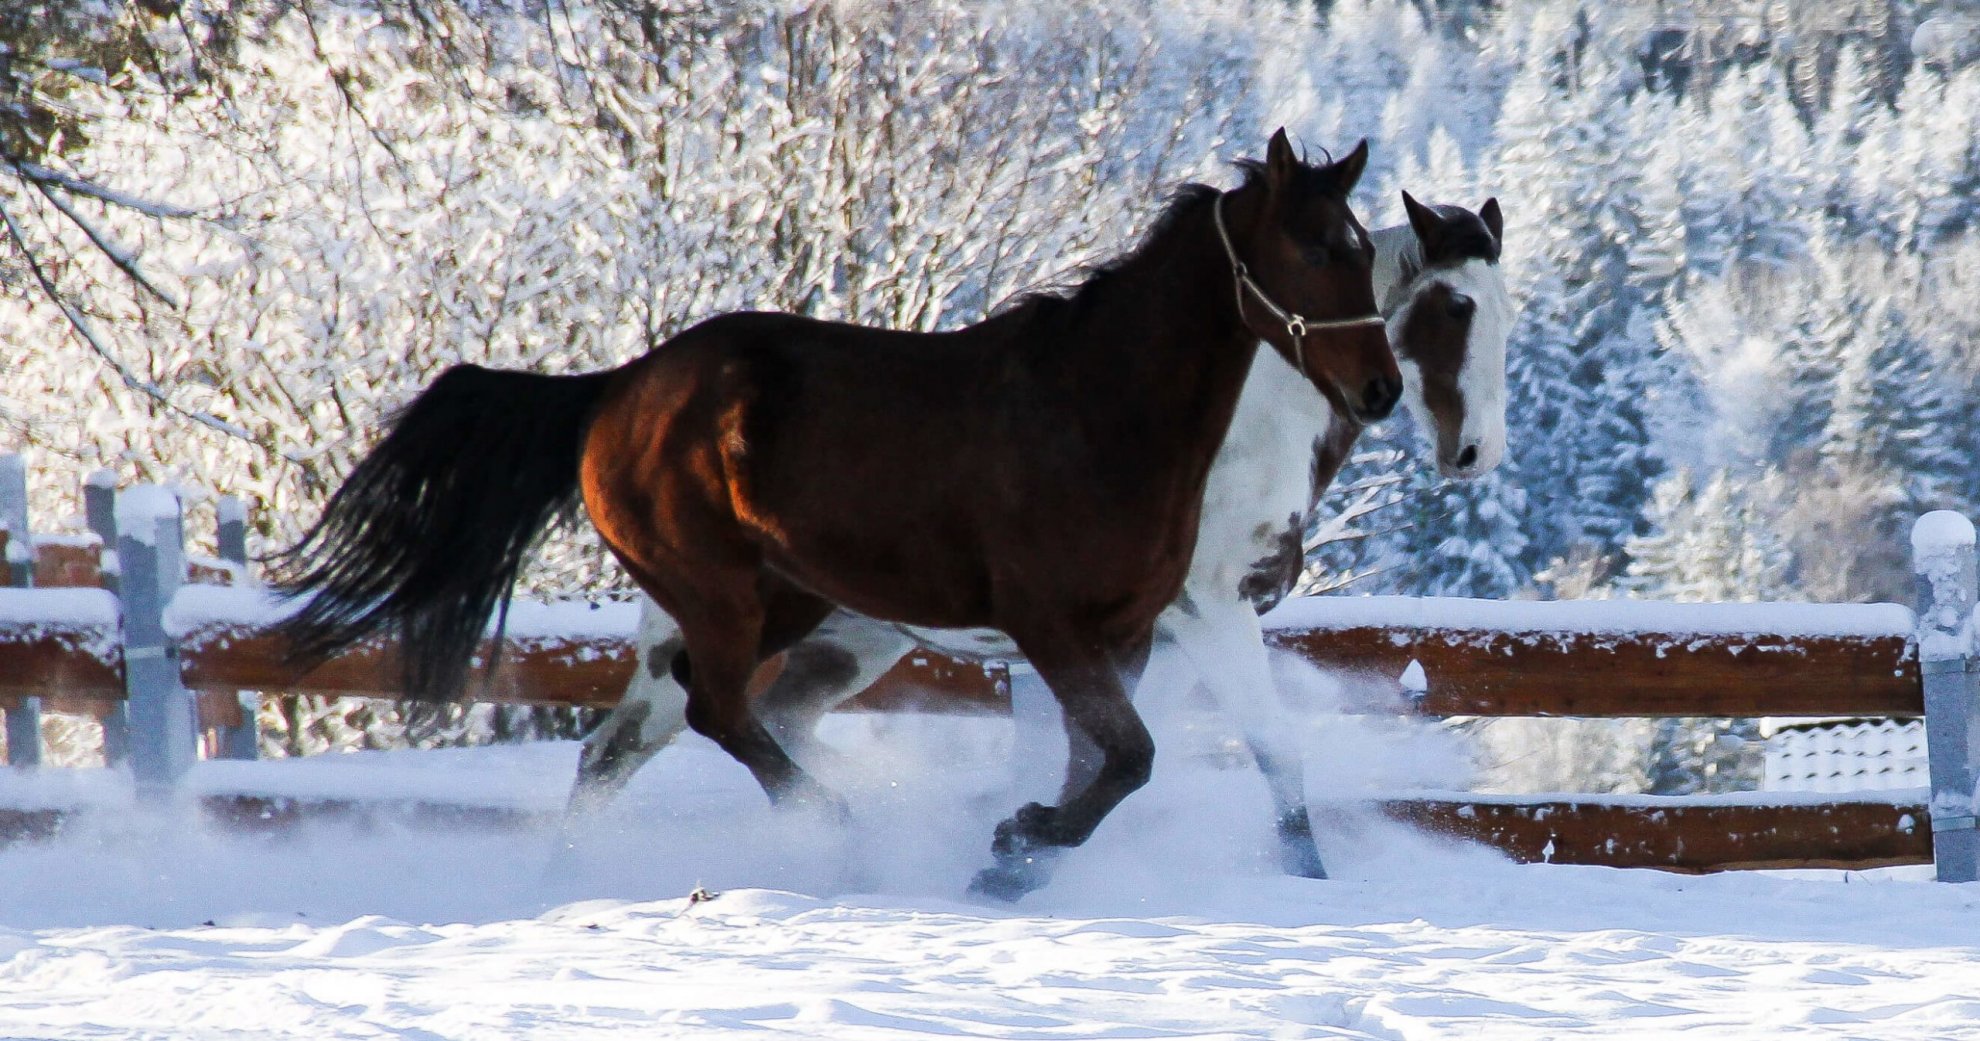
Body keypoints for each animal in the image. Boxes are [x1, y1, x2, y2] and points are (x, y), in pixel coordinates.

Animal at [272, 130, 1401, 900]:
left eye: (1367, 252)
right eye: (1313, 249)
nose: (1383, 388)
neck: (1098, 415)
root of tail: (619, 388)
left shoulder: (1125, 634)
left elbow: (1112, 763)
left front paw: (1018, 855)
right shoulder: (1052, 621)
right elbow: (1130, 757)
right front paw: (1010, 842)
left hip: (782, 603)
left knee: (638, 738)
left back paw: (575, 877)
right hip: (718, 593)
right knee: (718, 711)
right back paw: (843, 831)